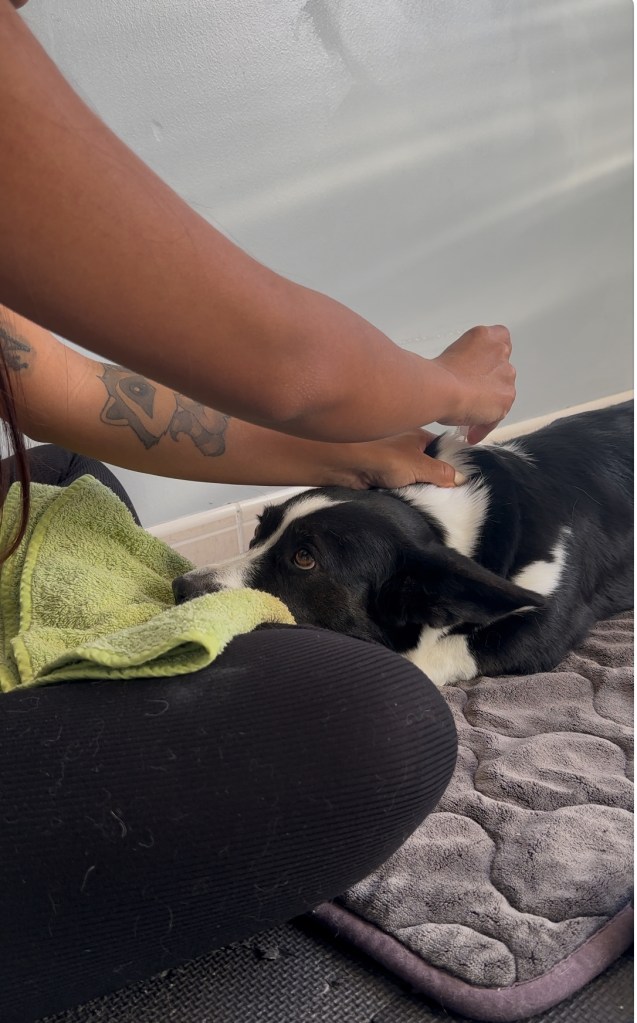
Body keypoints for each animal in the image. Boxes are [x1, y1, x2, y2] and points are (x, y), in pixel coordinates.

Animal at [173, 401, 634, 687]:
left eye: (305, 558)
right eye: (259, 531)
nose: (180, 587)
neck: (435, 519)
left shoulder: (545, 625)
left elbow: (442, 650)